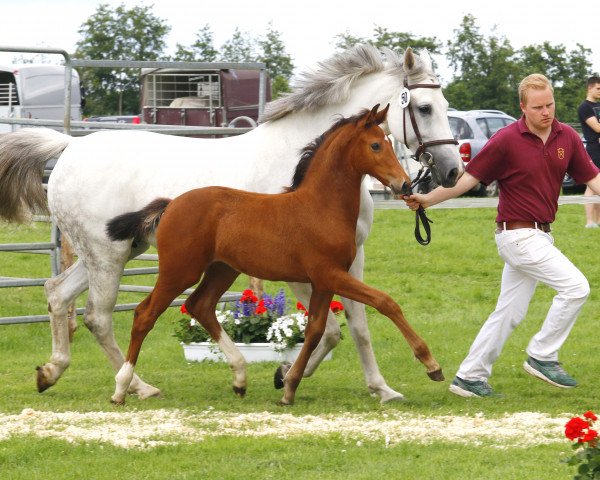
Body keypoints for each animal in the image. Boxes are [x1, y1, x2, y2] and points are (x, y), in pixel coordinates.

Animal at [0, 47, 464, 404]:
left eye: (446, 108)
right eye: (424, 108)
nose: (452, 171)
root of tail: (69, 146)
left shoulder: (353, 257)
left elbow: (358, 326)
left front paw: (381, 388)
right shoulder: (302, 269)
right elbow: (331, 329)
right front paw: (285, 374)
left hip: (116, 251)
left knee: (58, 294)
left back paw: (51, 372)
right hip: (109, 255)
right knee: (99, 315)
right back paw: (136, 387)